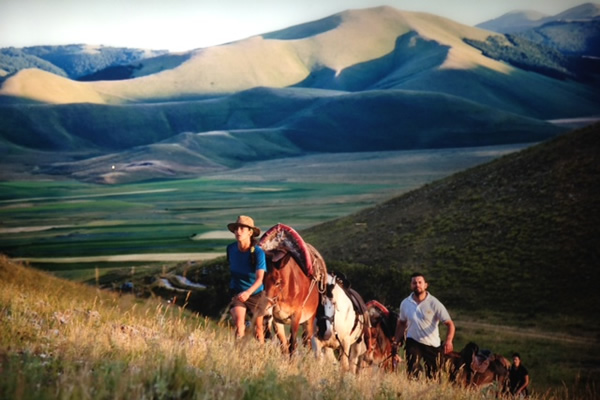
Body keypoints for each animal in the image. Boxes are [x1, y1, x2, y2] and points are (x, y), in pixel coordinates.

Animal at [254, 223, 328, 354]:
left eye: (278, 282)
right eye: (260, 280)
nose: (265, 310)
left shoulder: (296, 317)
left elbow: (293, 345)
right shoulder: (276, 321)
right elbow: (284, 347)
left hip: (308, 321)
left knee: (308, 342)